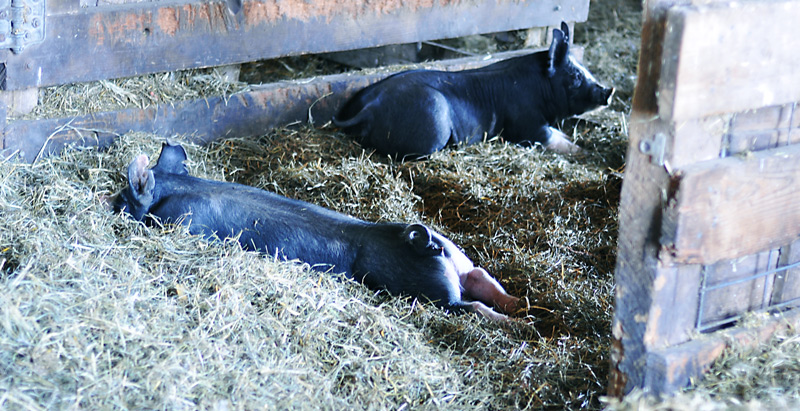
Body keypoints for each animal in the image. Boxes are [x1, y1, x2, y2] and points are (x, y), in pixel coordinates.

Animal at [112, 142, 521, 320]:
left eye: (123, 198)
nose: (108, 204)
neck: (177, 189)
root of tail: (425, 243)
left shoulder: (186, 221)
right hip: (458, 259)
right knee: (482, 278)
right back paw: (523, 309)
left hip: (430, 293)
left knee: (471, 305)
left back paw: (510, 321)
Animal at [333, 22, 614, 159]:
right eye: (575, 77)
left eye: (585, 69)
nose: (608, 90)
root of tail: (371, 107)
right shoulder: (526, 126)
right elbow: (550, 138)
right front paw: (584, 153)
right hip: (432, 115)